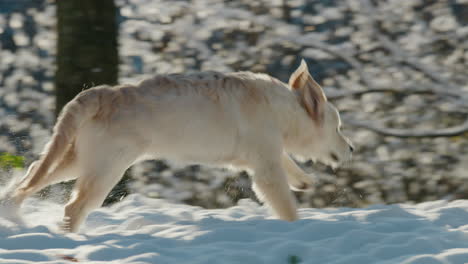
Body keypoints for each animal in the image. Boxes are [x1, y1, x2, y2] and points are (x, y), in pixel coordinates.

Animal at [8, 59, 352, 231]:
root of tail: (100, 92)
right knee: (74, 206)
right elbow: (285, 201)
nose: (350, 149)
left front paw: (304, 180)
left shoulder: (257, 155)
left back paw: (12, 215)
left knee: (29, 177)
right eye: (338, 128)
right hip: (106, 169)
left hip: (77, 160)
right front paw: (296, 226)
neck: (282, 109)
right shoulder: (264, 167)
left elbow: (286, 159)